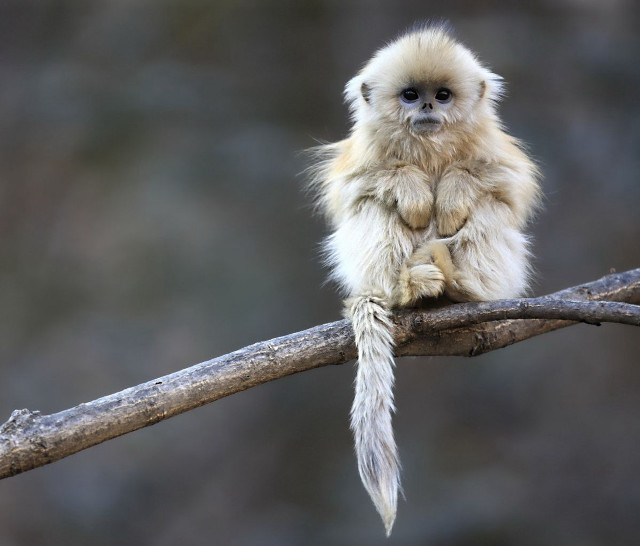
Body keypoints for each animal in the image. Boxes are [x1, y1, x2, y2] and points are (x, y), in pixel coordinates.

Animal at [308, 24, 541, 535]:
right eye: (411, 95)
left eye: (444, 95)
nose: (429, 108)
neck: (429, 148)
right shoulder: (362, 156)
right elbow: (358, 187)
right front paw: (414, 191)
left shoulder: (495, 152)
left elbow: (504, 185)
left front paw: (451, 194)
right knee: (373, 207)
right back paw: (408, 288)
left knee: (488, 209)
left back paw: (458, 285)